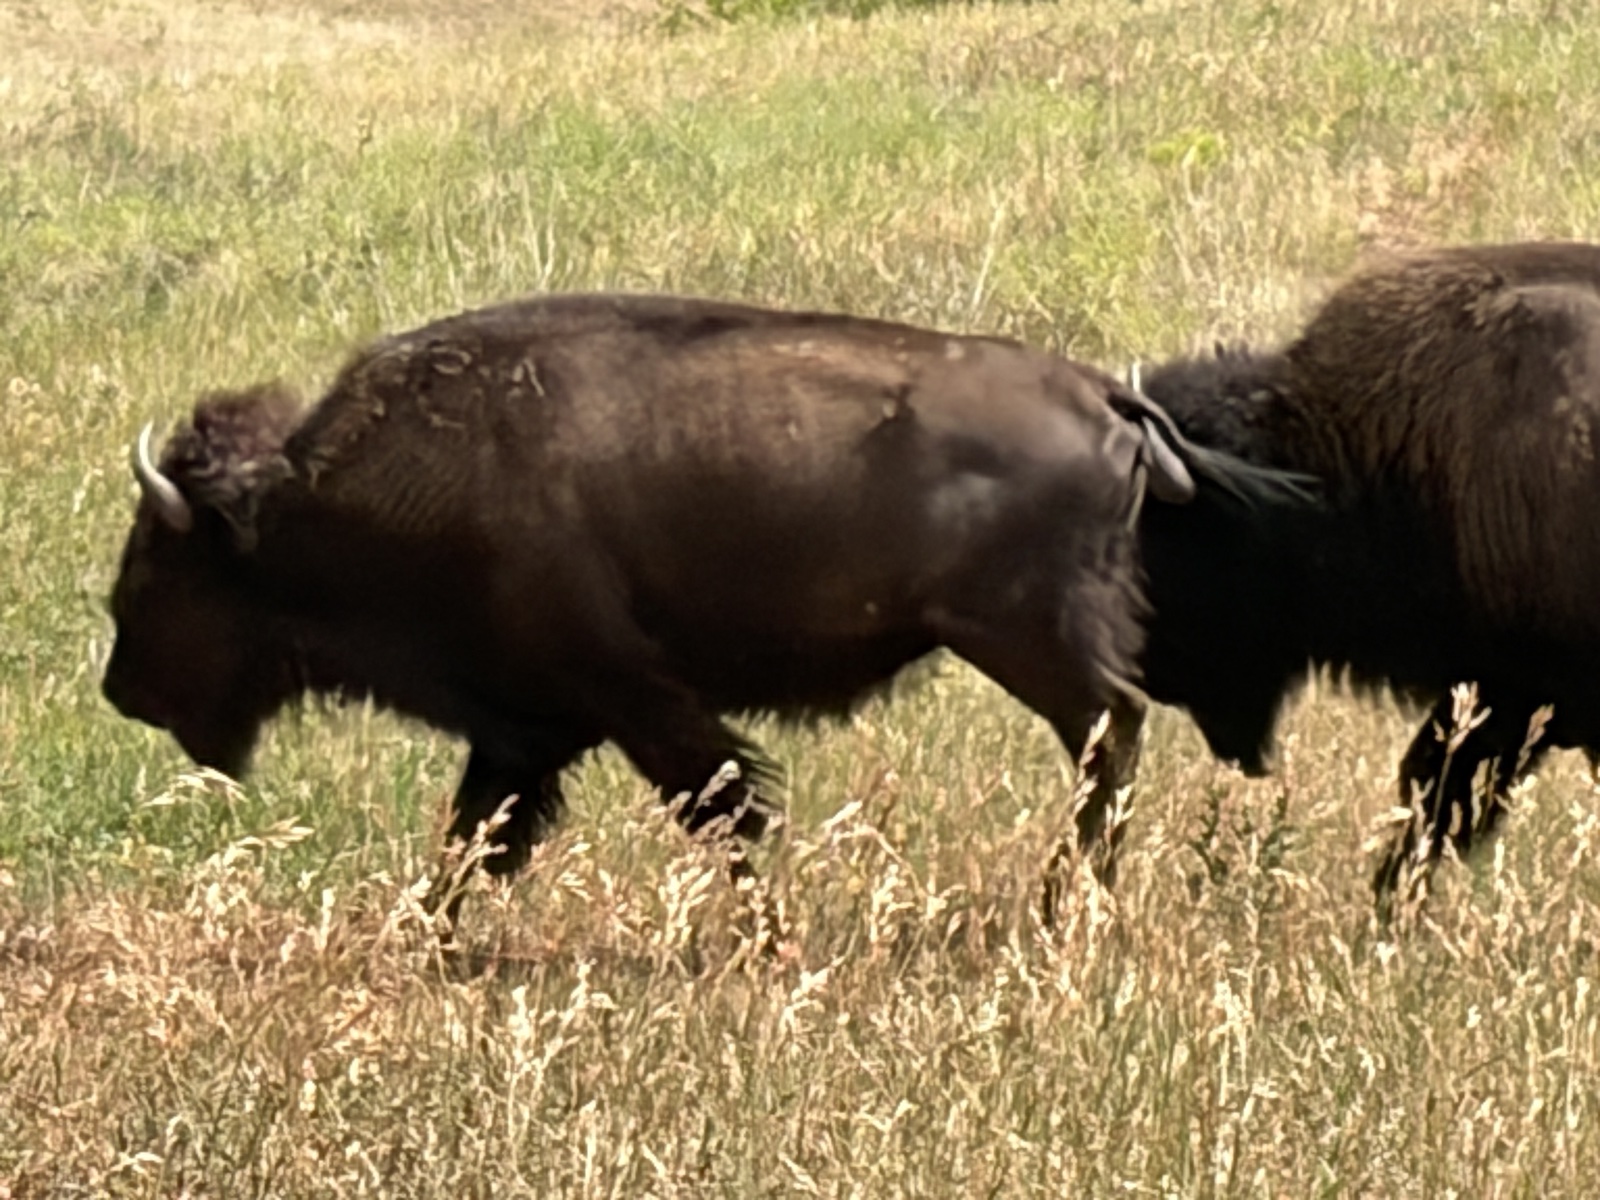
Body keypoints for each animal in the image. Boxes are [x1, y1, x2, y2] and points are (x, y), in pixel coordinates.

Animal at [102, 292, 1289, 918]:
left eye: (160, 569)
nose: (121, 689)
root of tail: (1107, 396)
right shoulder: (523, 733)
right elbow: (477, 833)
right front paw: (428, 931)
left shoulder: (631, 701)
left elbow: (721, 806)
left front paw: (764, 935)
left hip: (1026, 641)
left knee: (1107, 739)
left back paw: (1064, 899)